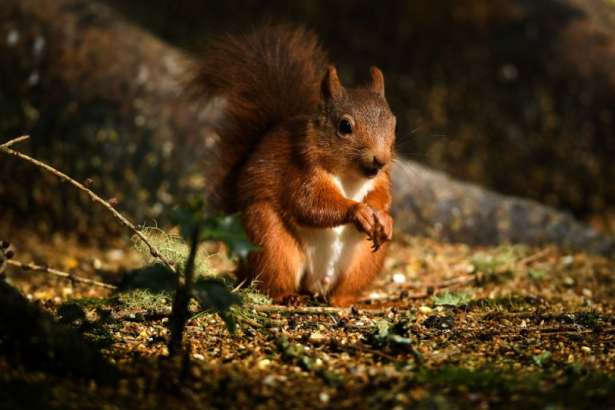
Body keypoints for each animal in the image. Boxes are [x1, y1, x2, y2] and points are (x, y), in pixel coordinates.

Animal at [194, 25, 400, 306]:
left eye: (394, 123)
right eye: (345, 126)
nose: (380, 159)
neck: (351, 177)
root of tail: (317, 283)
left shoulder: (380, 179)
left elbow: (381, 196)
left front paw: (382, 217)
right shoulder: (300, 170)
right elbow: (309, 204)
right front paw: (357, 211)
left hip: (365, 262)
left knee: (343, 290)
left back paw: (345, 301)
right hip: (271, 240)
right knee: (273, 281)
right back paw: (288, 296)